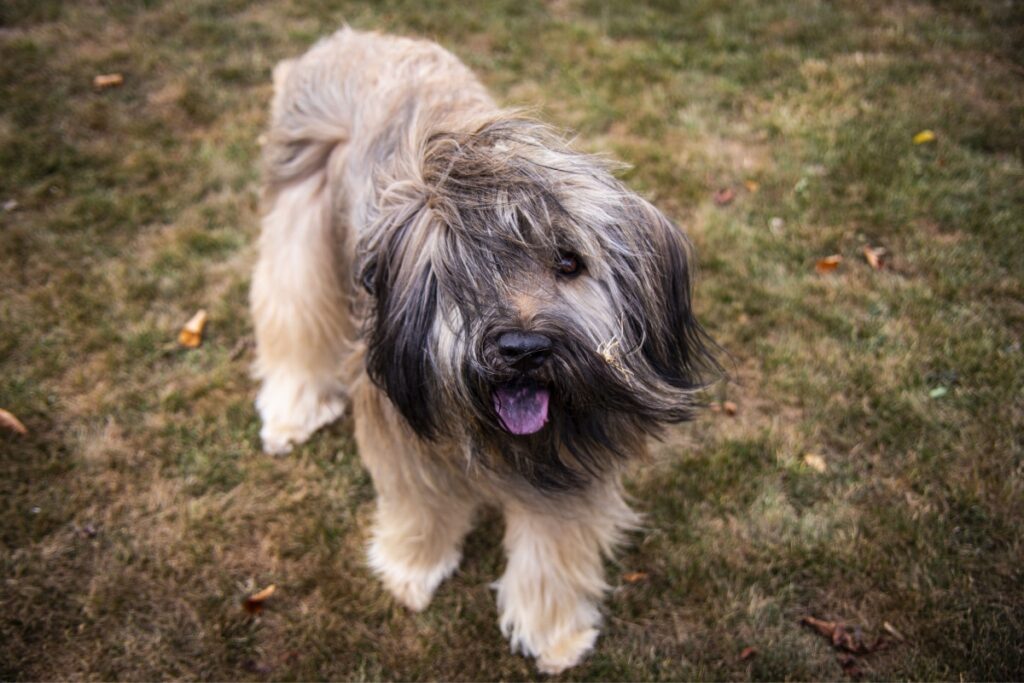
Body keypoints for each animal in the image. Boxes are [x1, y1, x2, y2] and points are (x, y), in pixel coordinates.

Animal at [250, 26, 716, 671]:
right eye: (470, 269)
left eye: (568, 262)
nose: (522, 350)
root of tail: (354, 37)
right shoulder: (400, 421)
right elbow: (418, 502)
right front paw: (412, 567)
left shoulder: (569, 457)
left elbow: (554, 544)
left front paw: (552, 632)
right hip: (300, 209)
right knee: (291, 310)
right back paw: (292, 409)